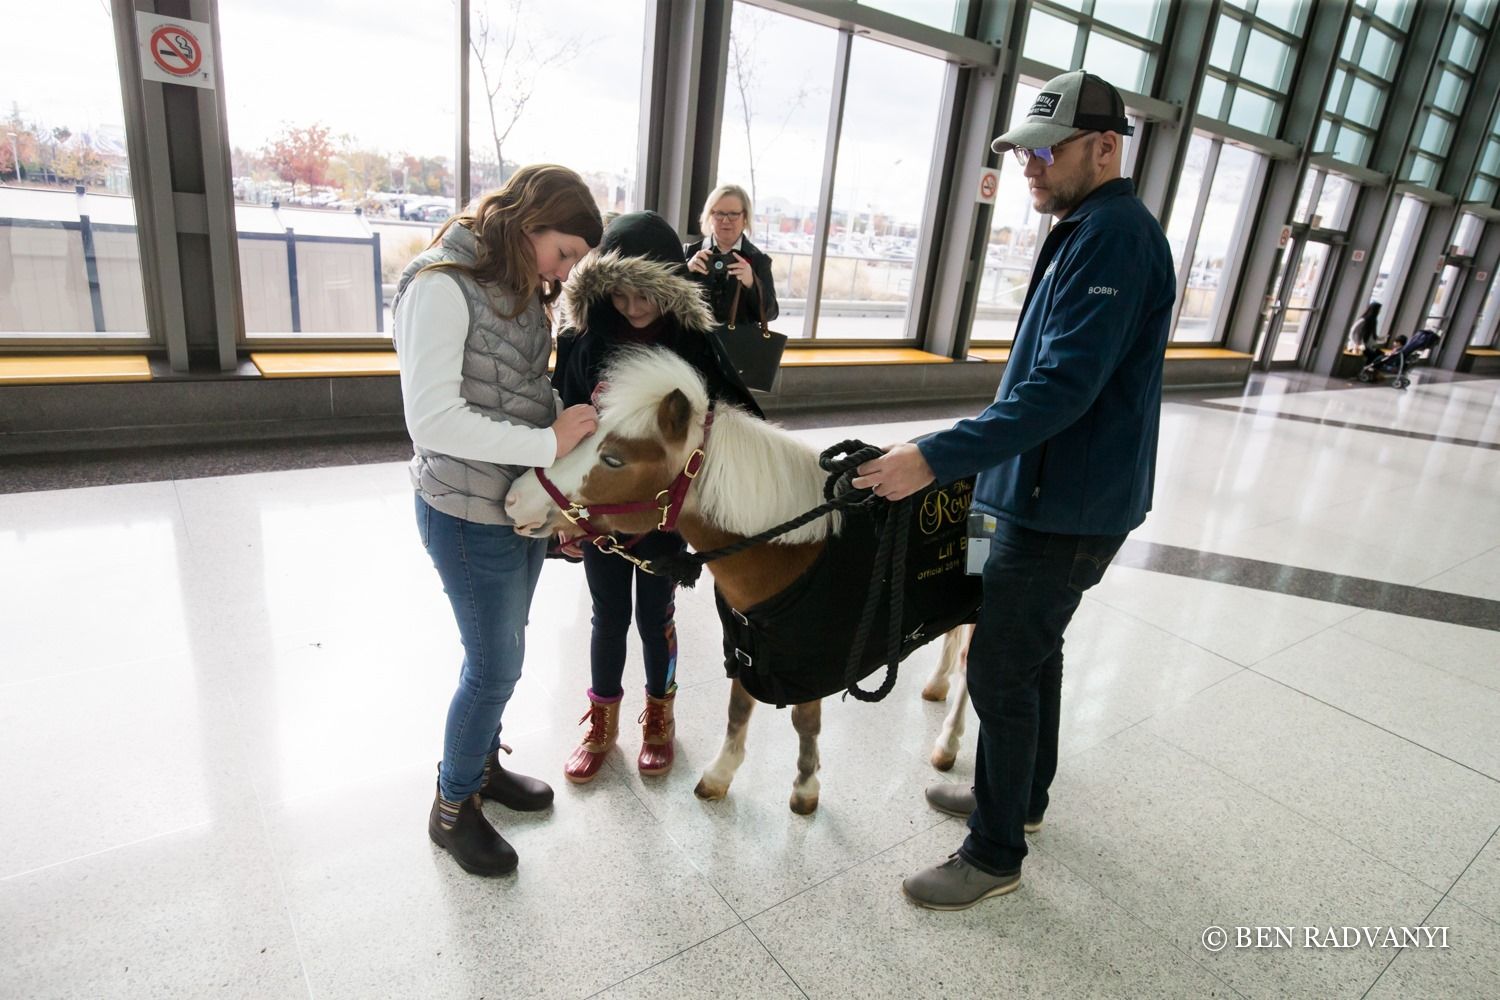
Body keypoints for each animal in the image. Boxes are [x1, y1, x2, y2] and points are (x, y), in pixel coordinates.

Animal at [510, 347, 966, 815]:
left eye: (614, 457)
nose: (515, 499)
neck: (795, 551)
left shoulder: (813, 663)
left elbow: (804, 720)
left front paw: (805, 787)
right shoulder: (745, 644)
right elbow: (738, 709)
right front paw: (719, 775)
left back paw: (948, 744)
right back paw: (936, 685)